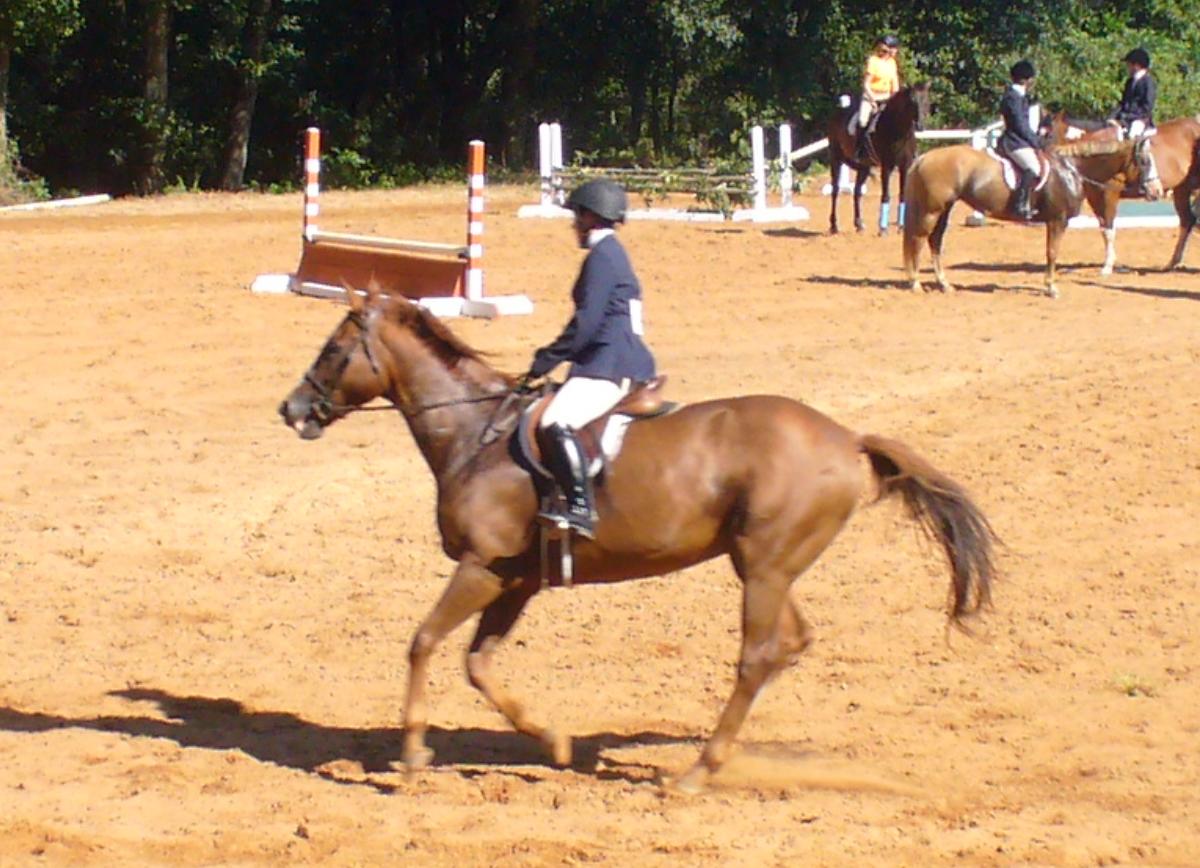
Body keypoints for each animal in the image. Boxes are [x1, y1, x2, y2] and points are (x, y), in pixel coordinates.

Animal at [276, 286, 998, 792]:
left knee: (757, 656)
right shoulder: (516, 580)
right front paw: (554, 741)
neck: (476, 435)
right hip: (765, 565)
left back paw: (698, 772)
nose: (292, 409)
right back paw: (722, 757)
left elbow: (423, 643)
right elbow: (479, 664)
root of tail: (847, 438)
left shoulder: (481, 568)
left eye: (334, 350)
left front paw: (412, 755)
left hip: (764, 570)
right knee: (790, 644)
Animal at [830, 83, 931, 236]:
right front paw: (883, 228)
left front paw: (901, 227)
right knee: (835, 190)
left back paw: (859, 225)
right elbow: (886, 195)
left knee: (857, 192)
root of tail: (836, 113)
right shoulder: (887, 166)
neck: (897, 130)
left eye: (926, 100)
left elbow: (903, 195)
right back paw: (834, 226)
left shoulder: (905, 166)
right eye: (912, 101)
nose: (920, 126)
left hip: (863, 167)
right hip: (836, 159)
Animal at [902, 137, 1152, 296]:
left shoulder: (1054, 221)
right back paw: (915, 283)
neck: (1071, 170)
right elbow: (1052, 253)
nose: (1153, 191)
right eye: (1144, 161)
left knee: (935, 241)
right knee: (918, 240)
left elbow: (1050, 253)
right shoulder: (1058, 220)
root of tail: (924, 157)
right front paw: (1051, 288)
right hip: (932, 210)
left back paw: (944, 284)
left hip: (944, 209)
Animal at [1041, 112, 1200, 273]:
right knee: (1187, 220)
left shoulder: (1109, 194)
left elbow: (1109, 228)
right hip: (1181, 189)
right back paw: (1173, 262)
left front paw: (1108, 266)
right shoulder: (1094, 195)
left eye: (1048, 134)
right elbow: (1104, 229)